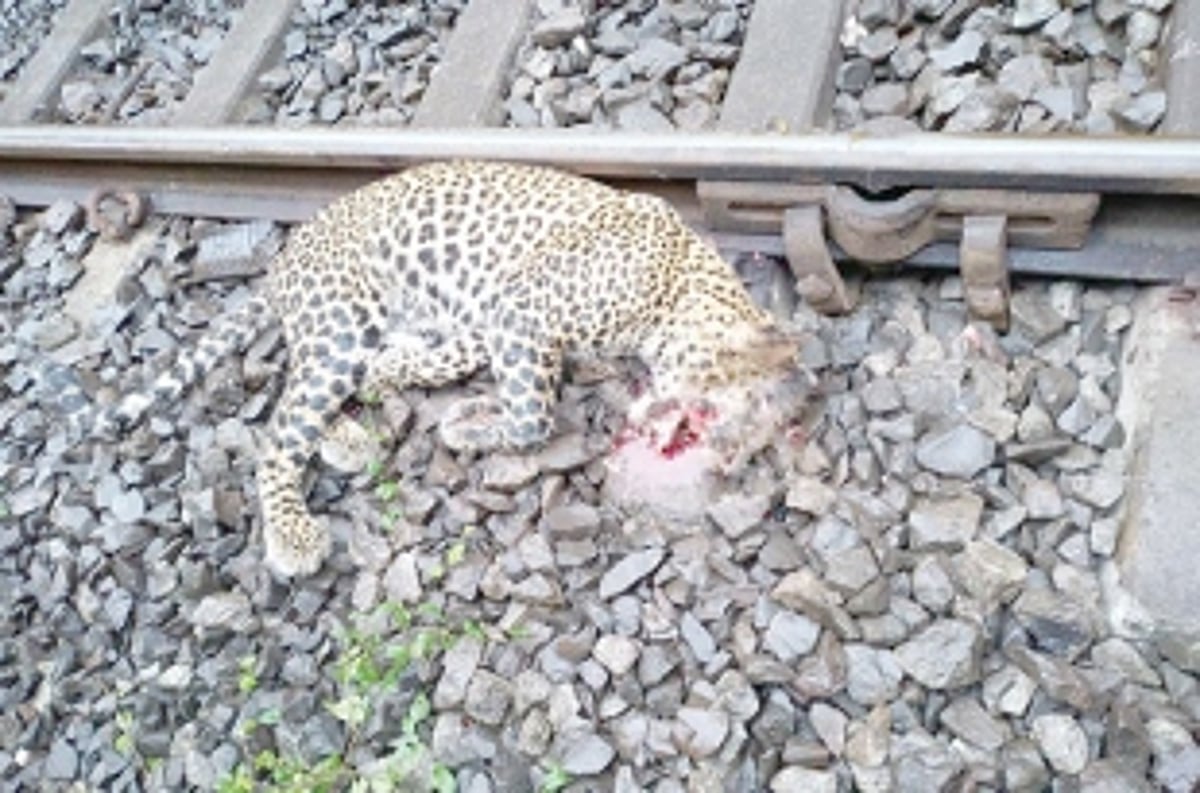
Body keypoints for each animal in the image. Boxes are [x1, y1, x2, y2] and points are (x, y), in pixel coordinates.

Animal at [102, 160, 799, 578]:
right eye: (732, 419)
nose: (729, 466)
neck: (679, 283)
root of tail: (280, 265)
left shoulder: (496, 315)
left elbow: (458, 356)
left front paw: (412, 379)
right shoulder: (522, 307)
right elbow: (532, 416)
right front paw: (470, 426)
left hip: (339, 336)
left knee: (300, 395)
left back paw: (345, 436)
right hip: (338, 323)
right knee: (278, 433)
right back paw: (294, 535)